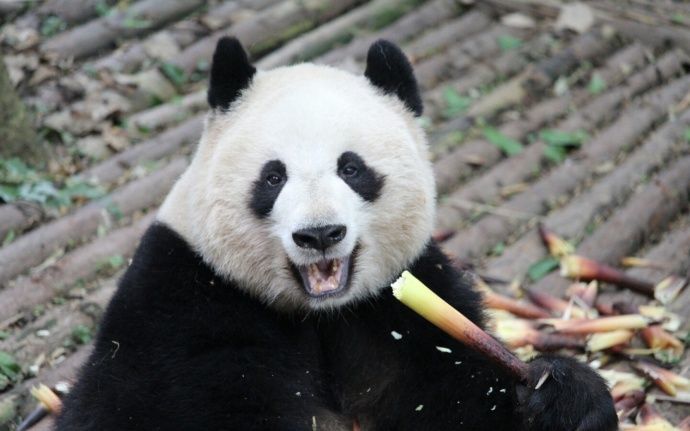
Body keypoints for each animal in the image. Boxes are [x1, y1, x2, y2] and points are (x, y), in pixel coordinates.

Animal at [53, 38, 612, 431]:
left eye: (352, 168)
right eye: (273, 177)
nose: (319, 234)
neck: (321, 315)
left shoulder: (400, 309)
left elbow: (458, 400)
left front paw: (564, 396)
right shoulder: (180, 308)